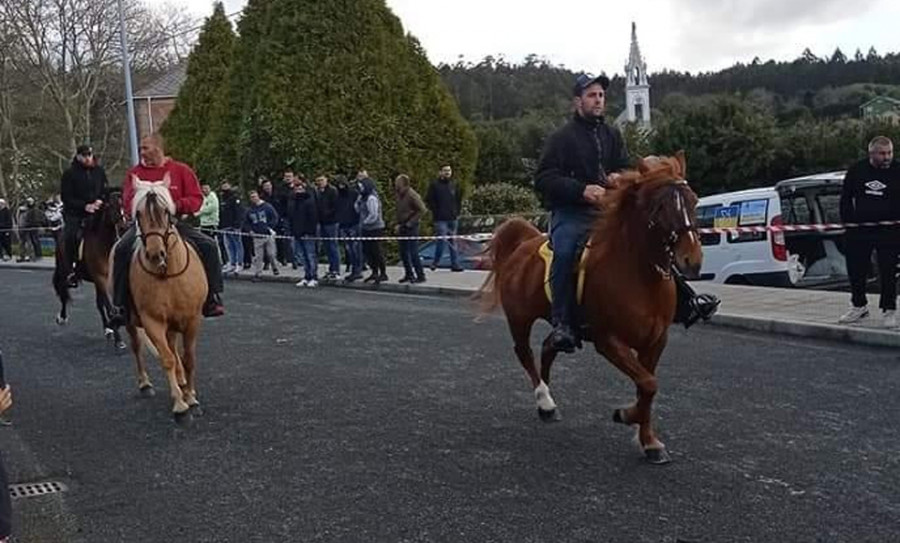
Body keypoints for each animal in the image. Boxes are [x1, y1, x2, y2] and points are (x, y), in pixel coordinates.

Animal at [52, 189, 126, 350]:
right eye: (111, 205)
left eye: (124, 203)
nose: (124, 226)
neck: (104, 245)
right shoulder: (100, 278)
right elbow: (110, 307)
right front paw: (119, 340)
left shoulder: (103, 280)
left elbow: (104, 304)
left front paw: (111, 329)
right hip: (64, 271)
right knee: (63, 291)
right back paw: (62, 317)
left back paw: (107, 329)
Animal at [120, 177, 208, 424]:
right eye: (138, 213)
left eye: (166, 212)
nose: (155, 255)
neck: (167, 273)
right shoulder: (152, 320)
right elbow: (167, 358)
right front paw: (180, 405)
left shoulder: (192, 319)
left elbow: (188, 358)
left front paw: (191, 397)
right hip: (134, 322)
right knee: (138, 346)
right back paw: (146, 384)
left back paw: (184, 383)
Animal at [478, 154, 704, 468]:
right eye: (660, 207)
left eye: (694, 200)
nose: (692, 260)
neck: (639, 275)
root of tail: (523, 242)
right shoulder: (608, 340)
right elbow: (648, 384)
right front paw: (626, 416)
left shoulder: (656, 341)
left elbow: (647, 387)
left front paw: (648, 440)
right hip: (519, 318)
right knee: (524, 353)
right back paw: (544, 400)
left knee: (548, 347)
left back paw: (548, 402)